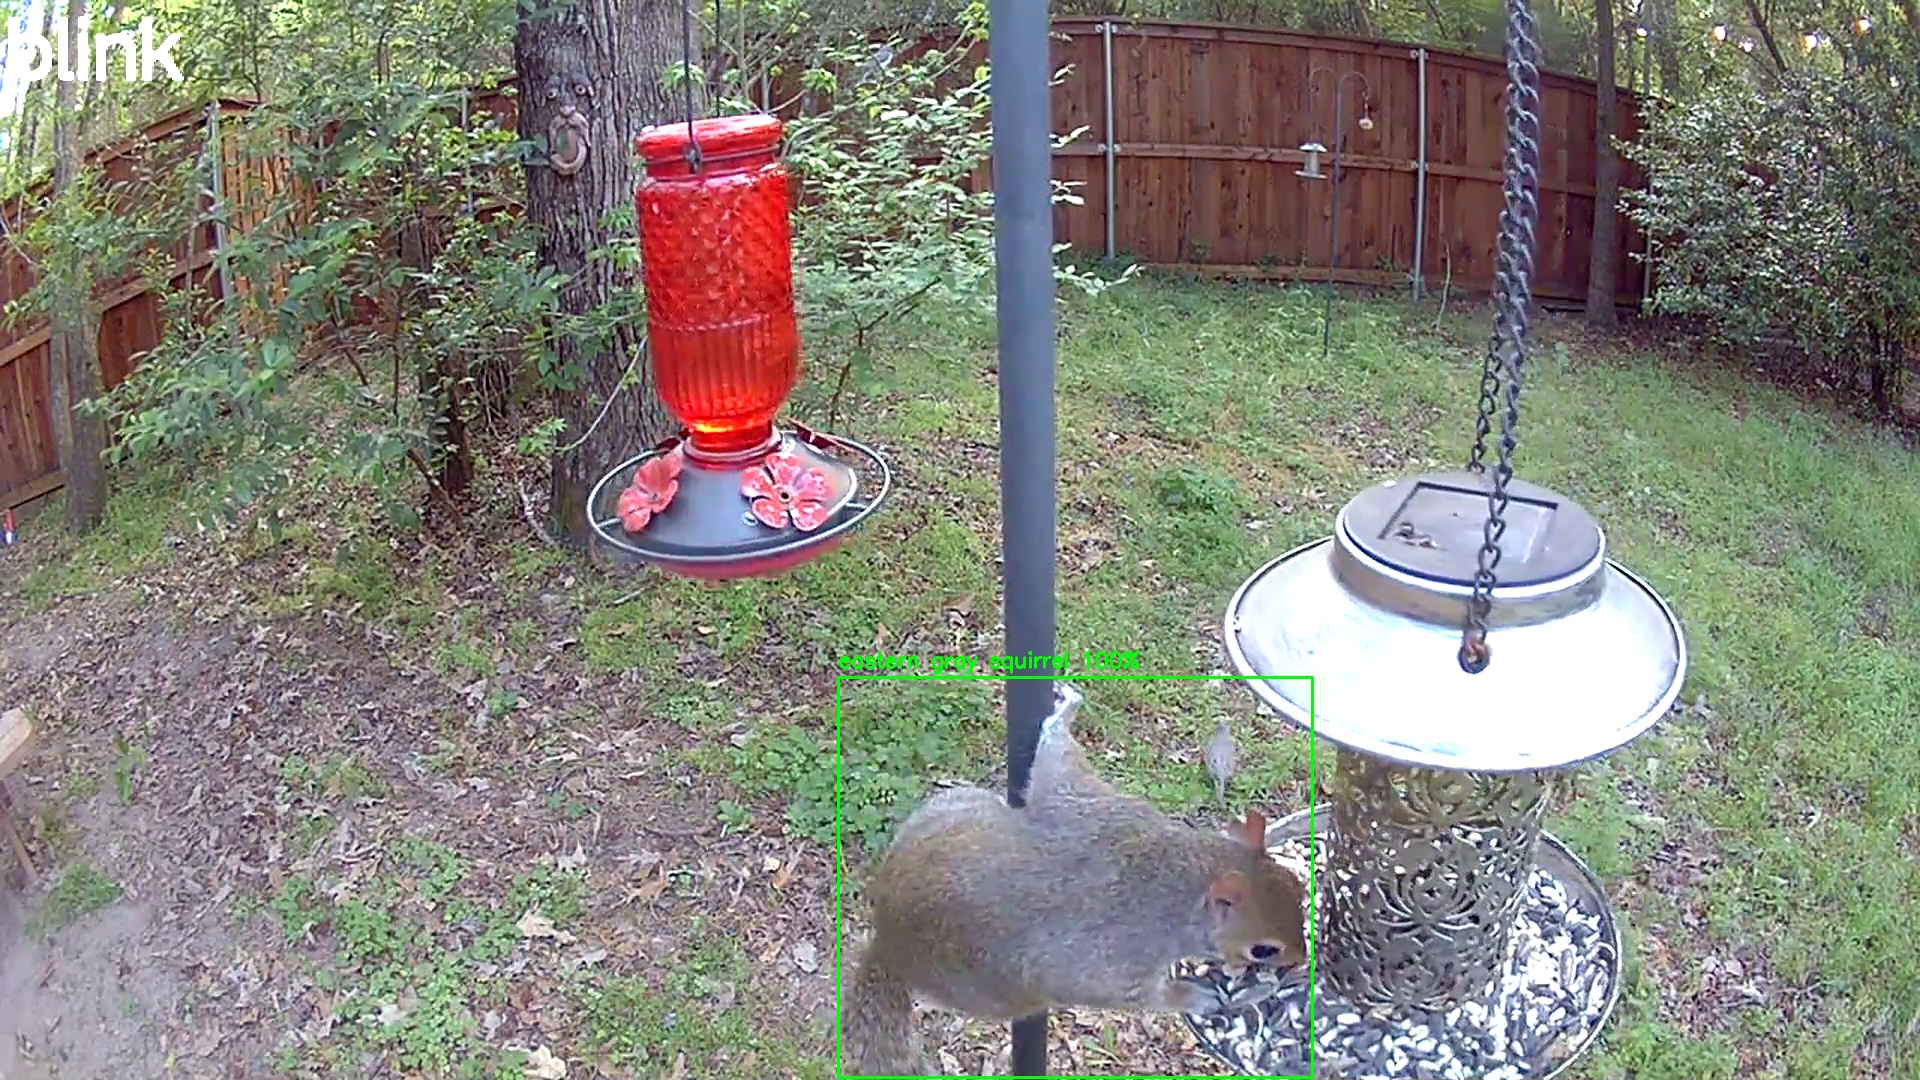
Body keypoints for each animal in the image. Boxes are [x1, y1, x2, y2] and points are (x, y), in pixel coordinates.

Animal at [840, 682, 1308, 1076]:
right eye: (1264, 949)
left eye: (1298, 888)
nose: (1302, 960)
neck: (1180, 873)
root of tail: (889, 942)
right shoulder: (1119, 954)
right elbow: (1131, 994)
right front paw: (1193, 997)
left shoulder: (1094, 809)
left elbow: (1060, 767)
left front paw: (1065, 709)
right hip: (999, 990)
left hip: (952, 809)